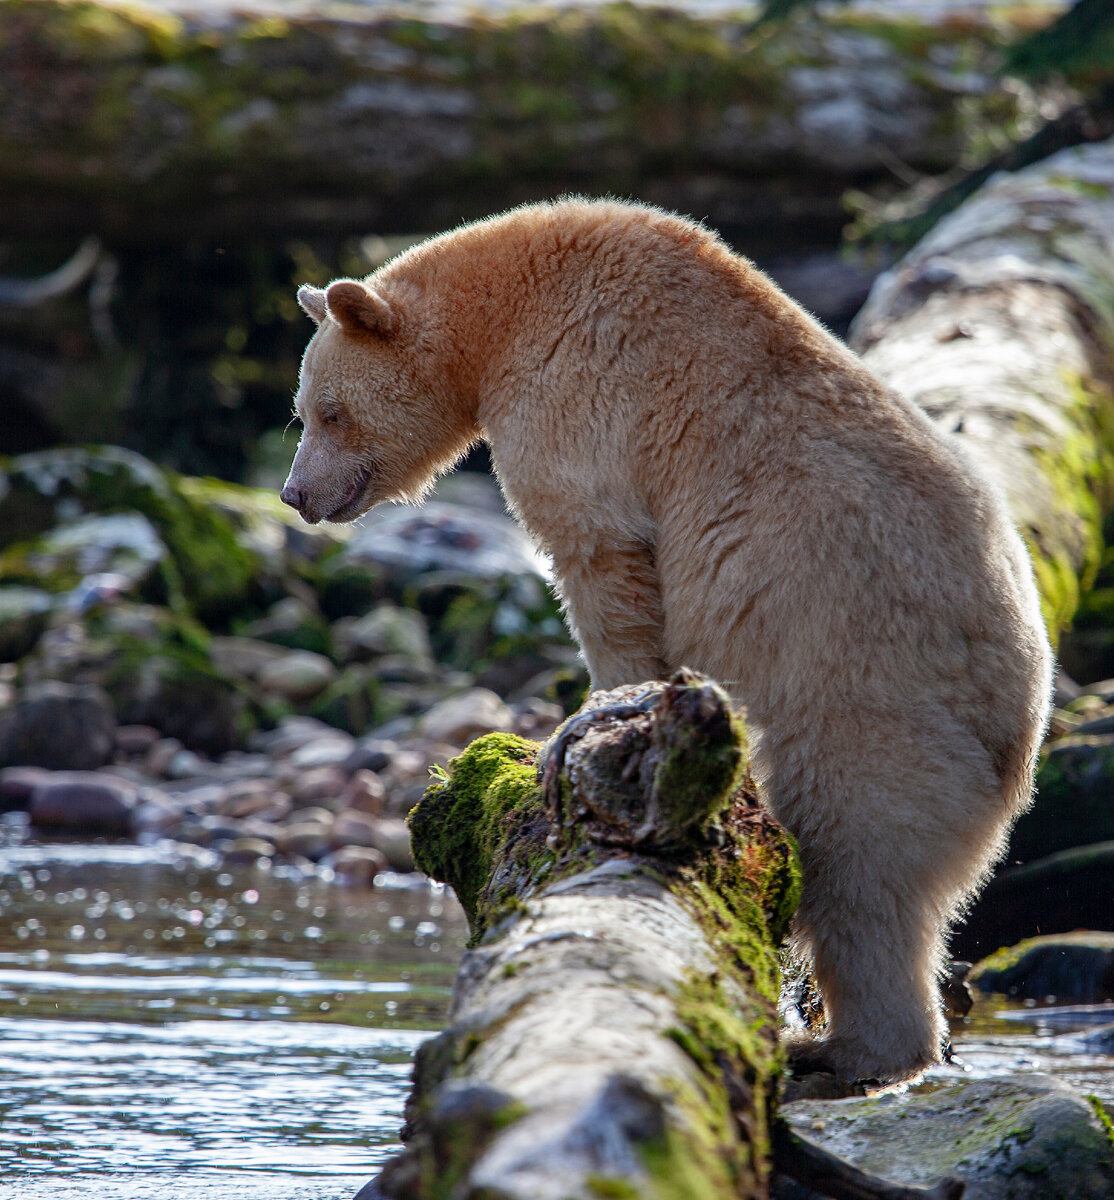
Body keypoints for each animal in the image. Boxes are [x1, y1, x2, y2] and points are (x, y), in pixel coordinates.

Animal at [280, 199, 1051, 1089]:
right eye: (304, 411)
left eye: (329, 410)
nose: (295, 494)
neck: (503, 321)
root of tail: (1024, 727)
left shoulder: (581, 397)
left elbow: (601, 566)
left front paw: (586, 717)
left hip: (871, 693)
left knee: (860, 867)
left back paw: (840, 1047)